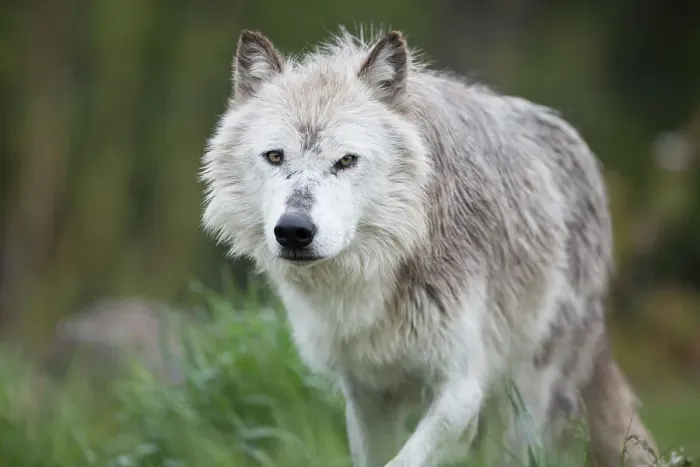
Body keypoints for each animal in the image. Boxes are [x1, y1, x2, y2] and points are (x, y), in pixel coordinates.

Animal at [200, 27, 662, 467]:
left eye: (346, 161)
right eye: (275, 157)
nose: (294, 230)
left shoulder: (461, 390)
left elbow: (405, 460)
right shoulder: (365, 394)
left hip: (525, 397)